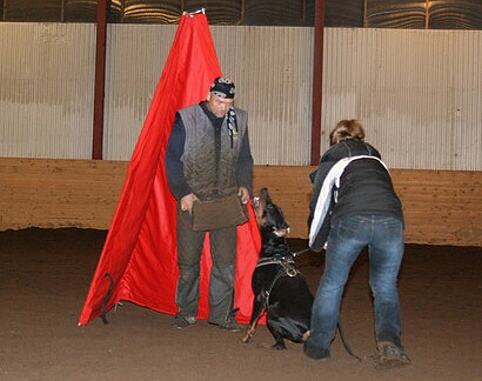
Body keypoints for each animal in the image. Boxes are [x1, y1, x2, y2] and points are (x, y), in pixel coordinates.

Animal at [240, 189, 314, 348]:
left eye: (270, 207)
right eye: (276, 207)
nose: (265, 189)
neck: (276, 251)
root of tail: (308, 330)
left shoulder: (259, 296)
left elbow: (252, 321)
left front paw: (246, 337)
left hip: (272, 314)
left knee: (281, 344)